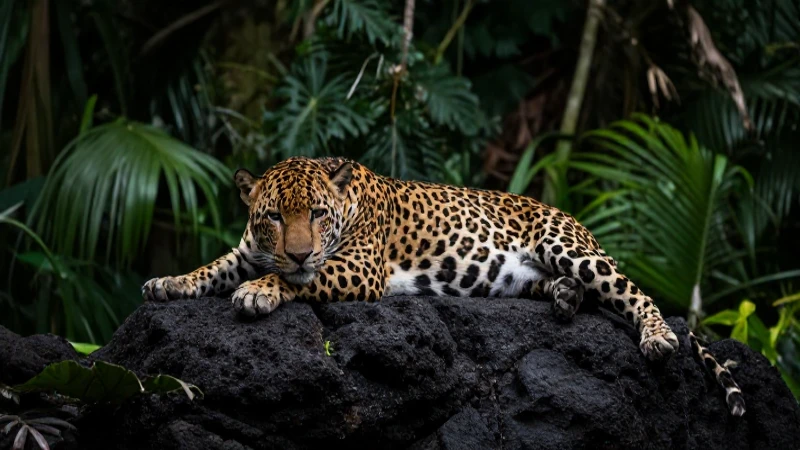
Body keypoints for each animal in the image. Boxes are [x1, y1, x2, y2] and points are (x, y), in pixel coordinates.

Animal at [142, 156, 746, 416]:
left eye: (316, 214)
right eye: (271, 215)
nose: (299, 251)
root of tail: (572, 217)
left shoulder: (359, 268)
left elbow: (296, 281)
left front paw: (261, 291)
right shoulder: (246, 250)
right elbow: (212, 268)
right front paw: (168, 282)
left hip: (571, 248)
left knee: (636, 294)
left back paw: (656, 337)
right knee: (571, 291)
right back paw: (564, 298)